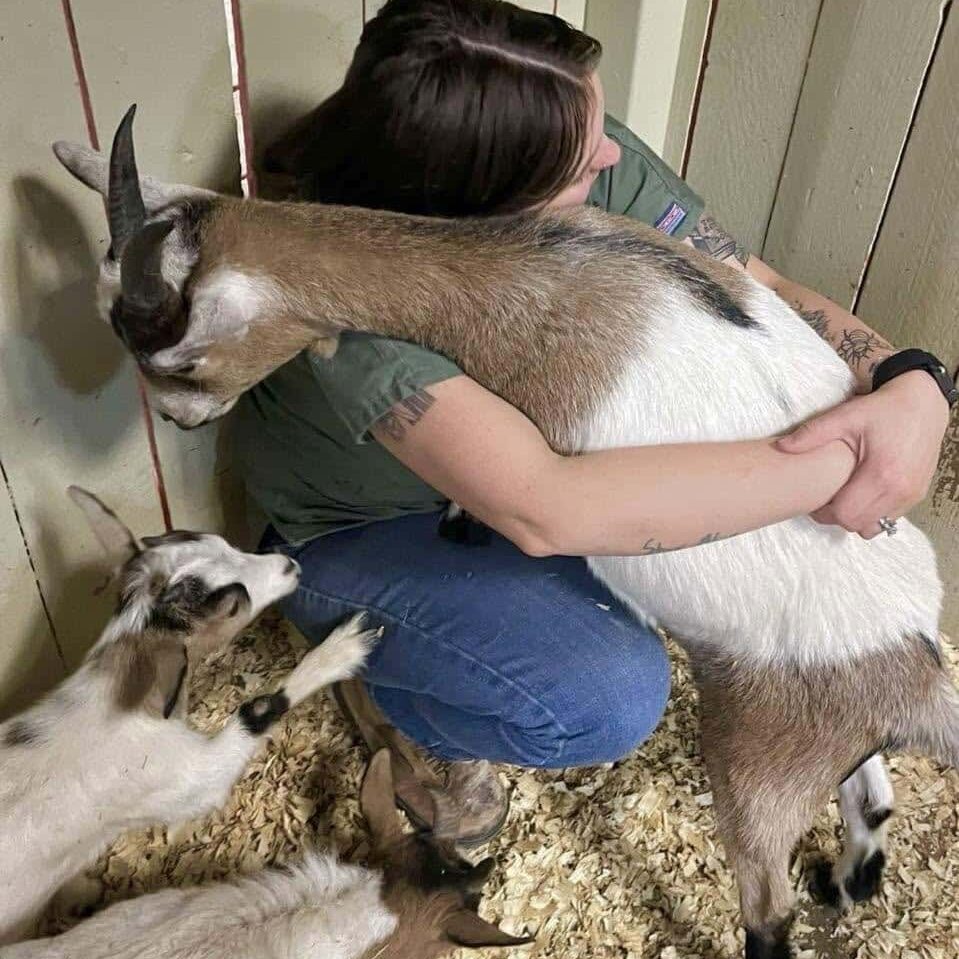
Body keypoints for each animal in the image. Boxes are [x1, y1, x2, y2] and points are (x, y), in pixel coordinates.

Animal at [0, 485, 378, 945]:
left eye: (220, 542)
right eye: (232, 605)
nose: (288, 566)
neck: (118, 697)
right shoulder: (182, 779)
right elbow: (255, 711)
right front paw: (341, 650)